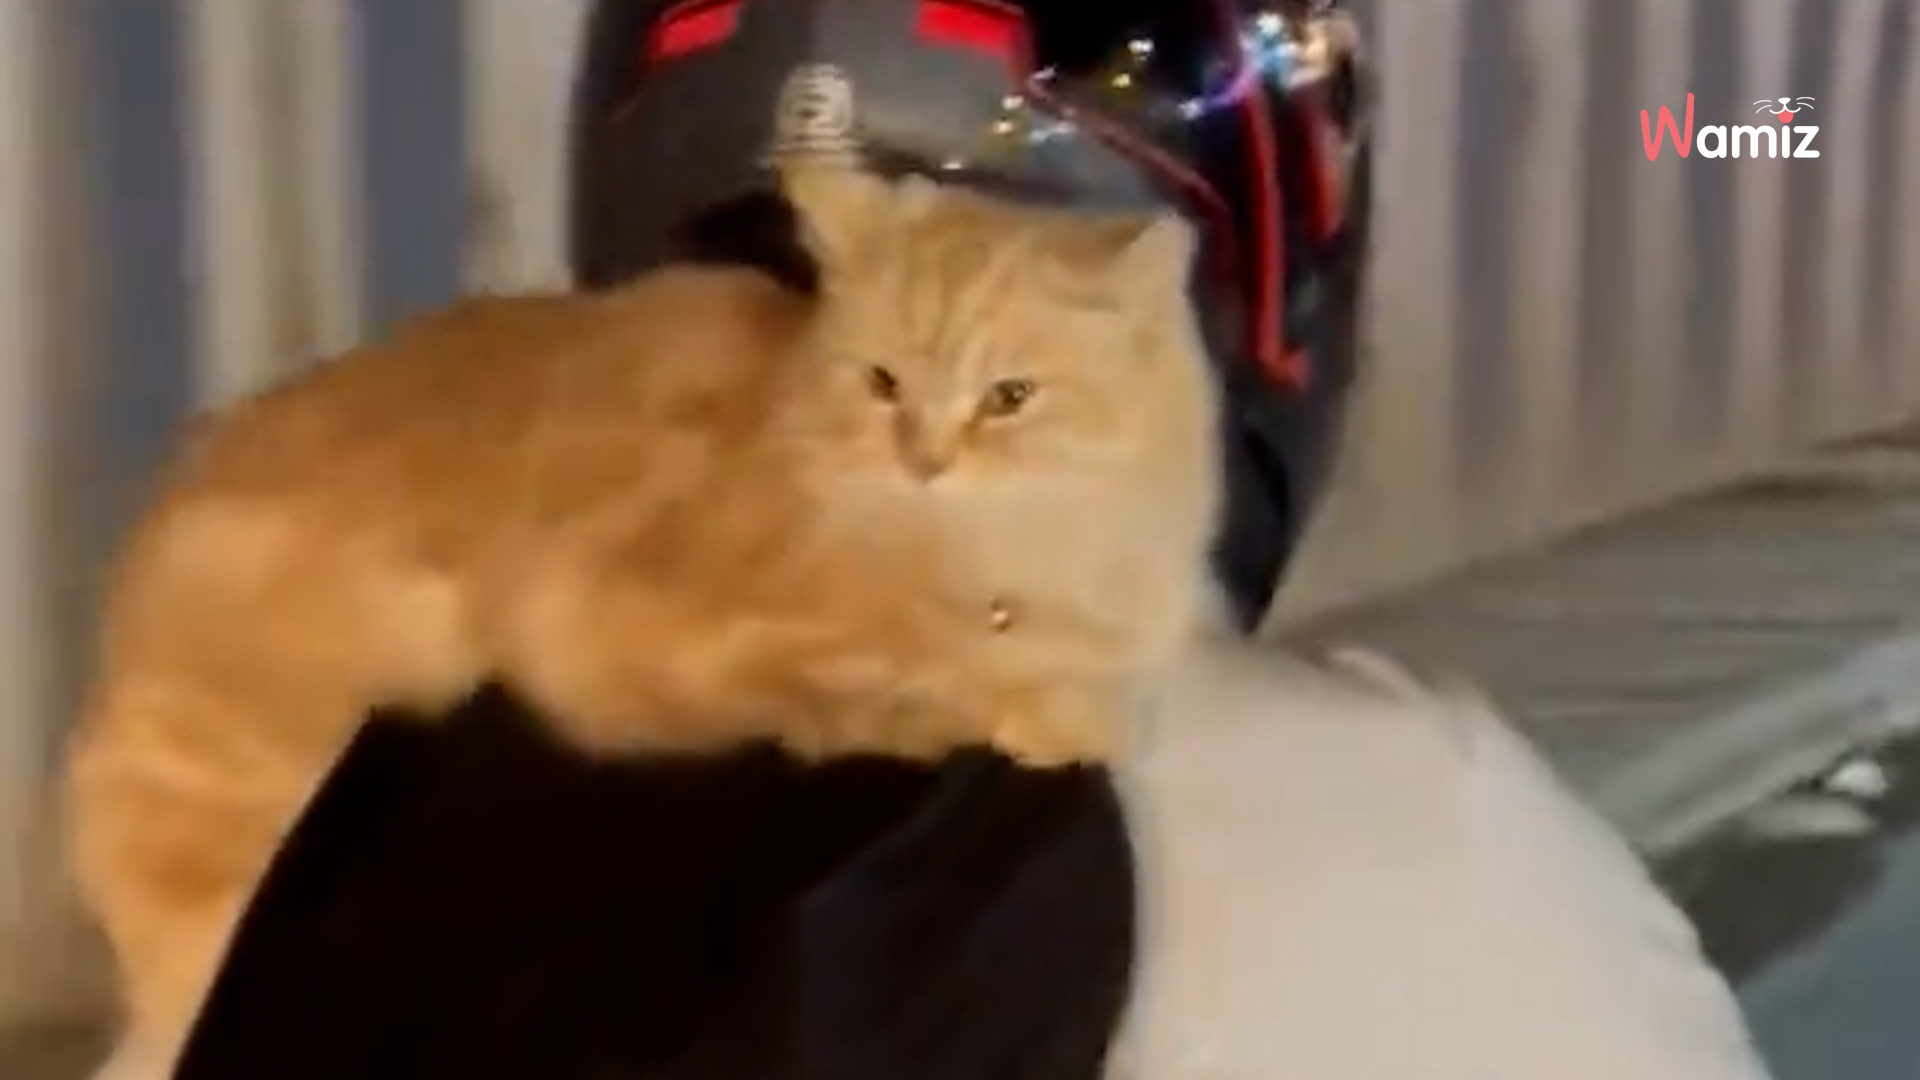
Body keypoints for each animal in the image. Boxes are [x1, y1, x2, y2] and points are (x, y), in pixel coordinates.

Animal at [64, 164, 1222, 1079]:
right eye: (885, 383)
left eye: (1010, 397)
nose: (924, 461)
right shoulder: (656, 636)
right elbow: (910, 685)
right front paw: (1031, 710)